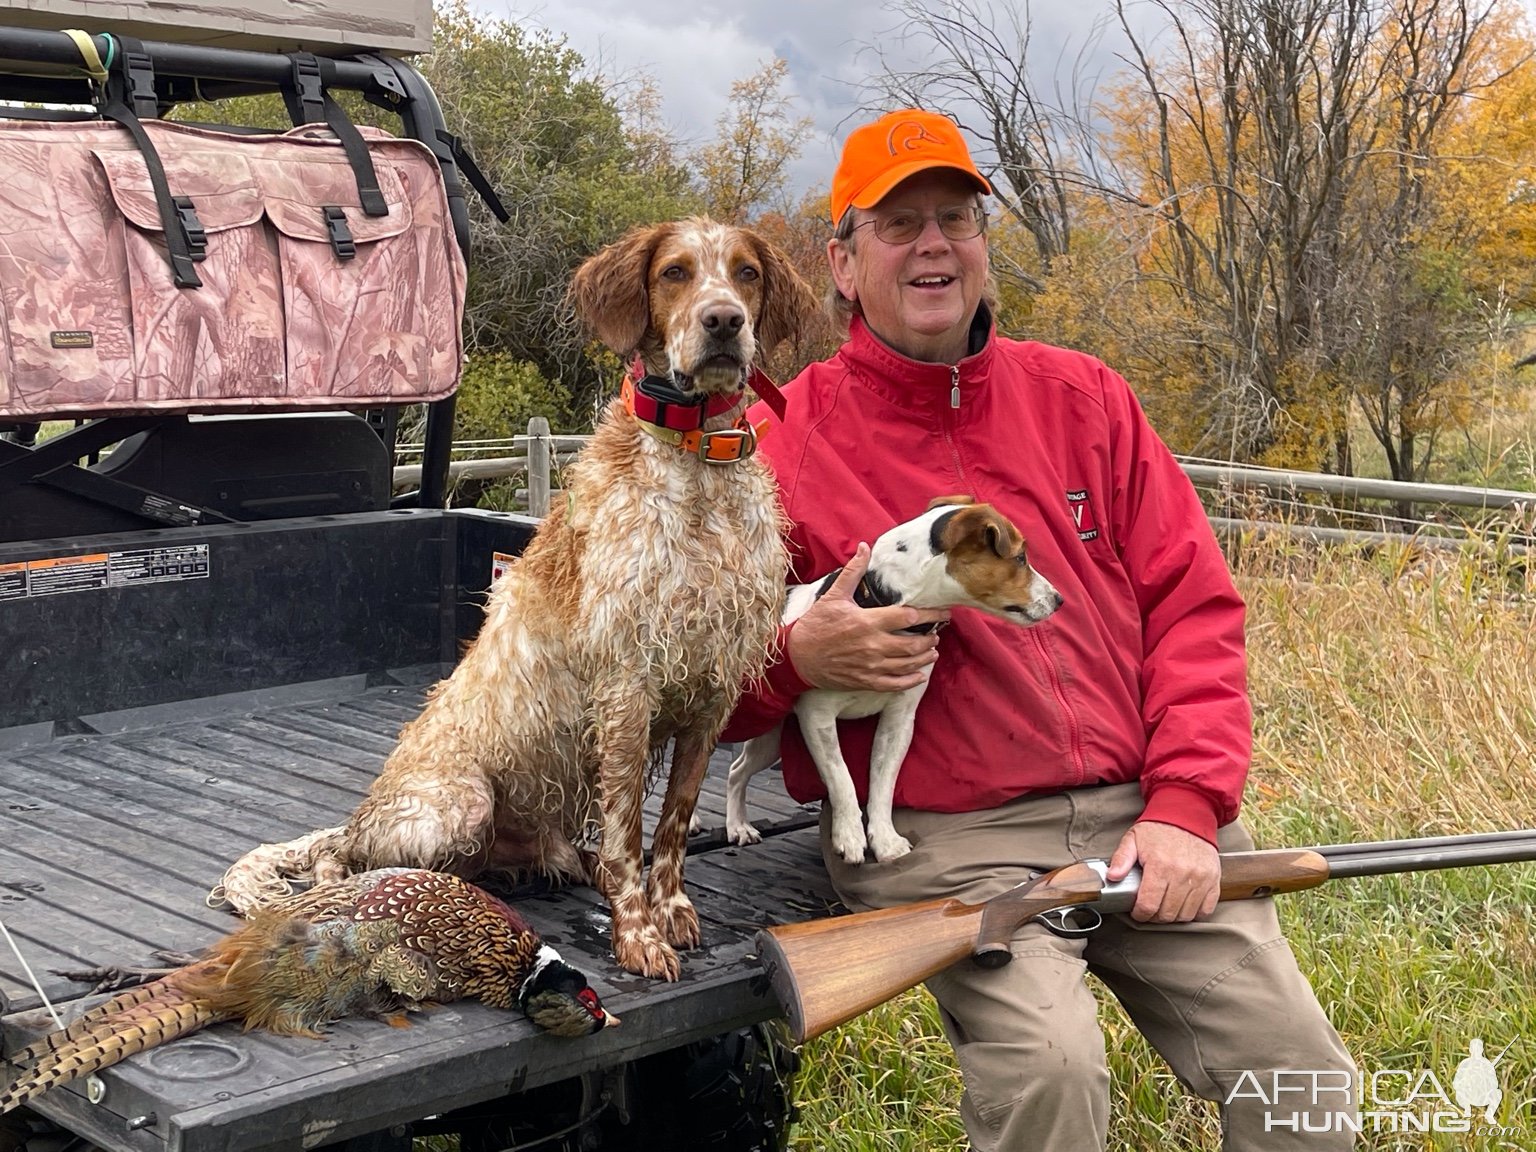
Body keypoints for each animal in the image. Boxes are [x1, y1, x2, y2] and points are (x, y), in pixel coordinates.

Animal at [213, 221, 829, 976]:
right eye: (676, 273)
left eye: (746, 273)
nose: (724, 322)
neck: (696, 468)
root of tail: (363, 813)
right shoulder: (626, 689)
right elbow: (629, 831)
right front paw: (638, 933)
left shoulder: (712, 694)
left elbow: (674, 826)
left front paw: (673, 910)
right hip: (459, 804)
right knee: (345, 863)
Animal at [715, 497, 1056, 866]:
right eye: (1020, 558)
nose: (1058, 599)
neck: (878, 601)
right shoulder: (817, 717)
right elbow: (842, 779)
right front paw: (849, 837)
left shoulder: (899, 720)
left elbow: (882, 784)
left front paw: (885, 840)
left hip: (769, 739)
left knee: (736, 770)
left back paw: (739, 826)